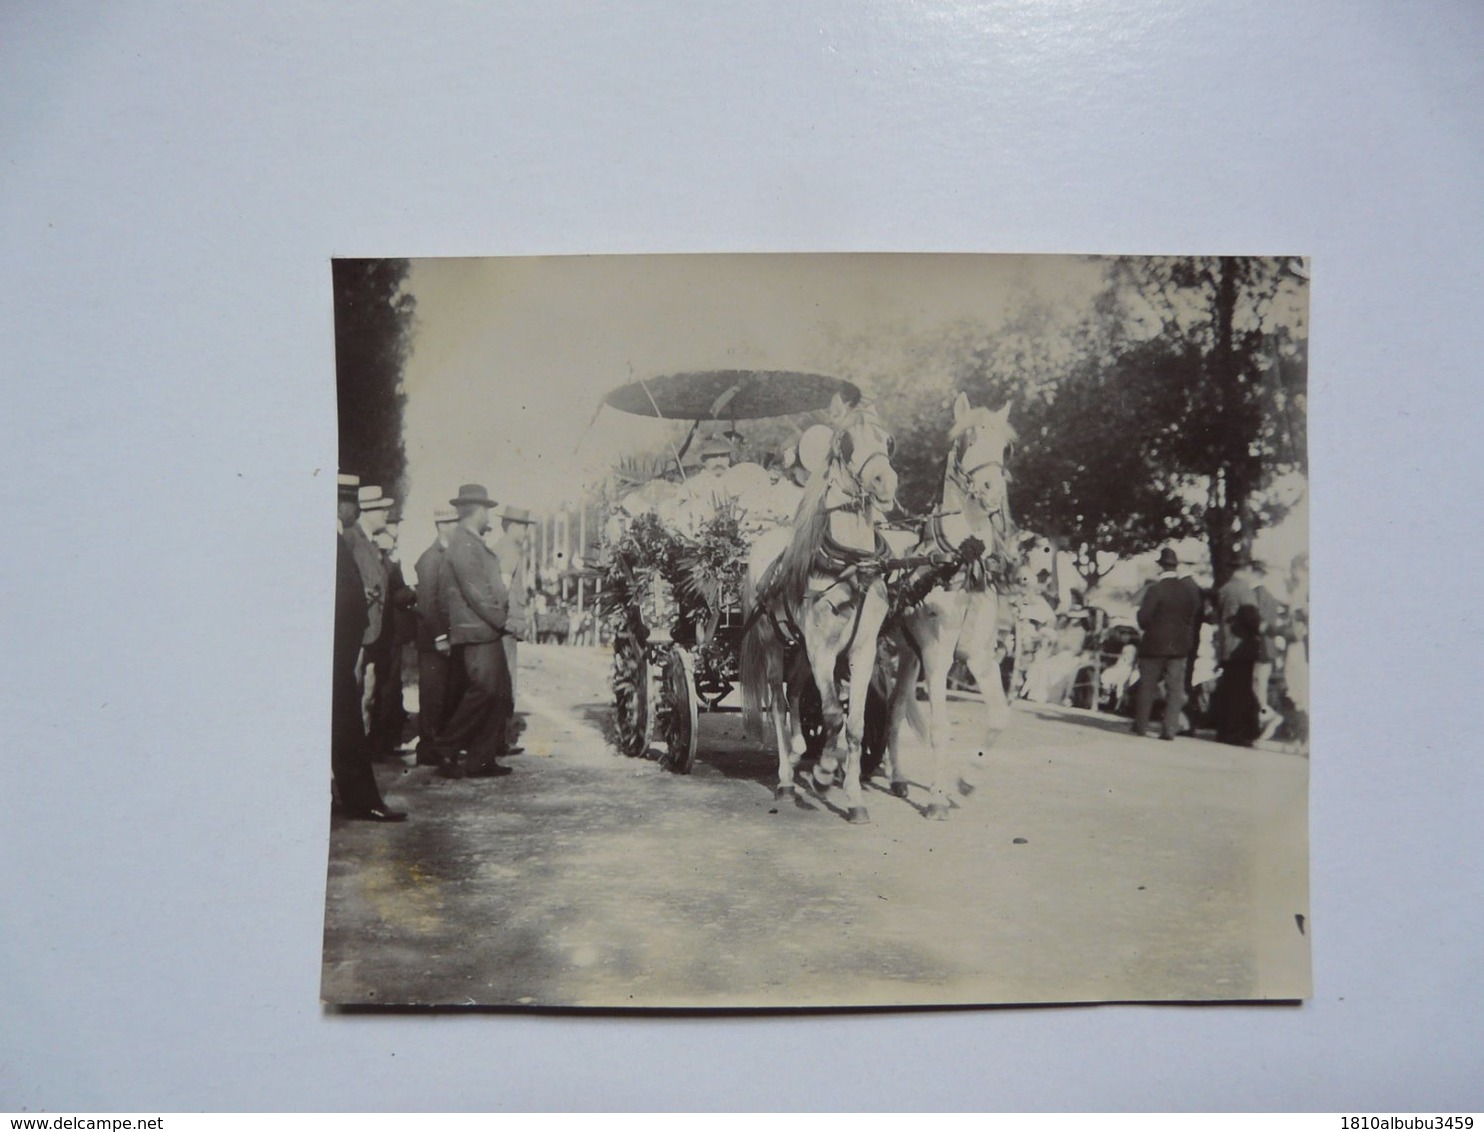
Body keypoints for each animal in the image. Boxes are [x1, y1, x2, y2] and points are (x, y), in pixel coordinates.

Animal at [736, 397, 896, 824]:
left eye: (888, 439)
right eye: (846, 441)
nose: (885, 482)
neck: (851, 565)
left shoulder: (861, 650)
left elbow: (854, 725)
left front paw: (854, 797)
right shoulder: (822, 648)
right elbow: (833, 716)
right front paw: (825, 774)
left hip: (801, 650)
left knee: (794, 694)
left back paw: (795, 750)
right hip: (774, 644)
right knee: (778, 701)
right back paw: (786, 780)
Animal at [884, 394, 1015, 818]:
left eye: (1005, 447)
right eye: (966, 440)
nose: (991, 489)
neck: (959, 562)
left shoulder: (980, 656)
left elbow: (999, 717)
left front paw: (965, 781)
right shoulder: (938, 655)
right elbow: (940, 728)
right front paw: (937, 798)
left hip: (907, 654)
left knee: (894, 709)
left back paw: (897, 778)